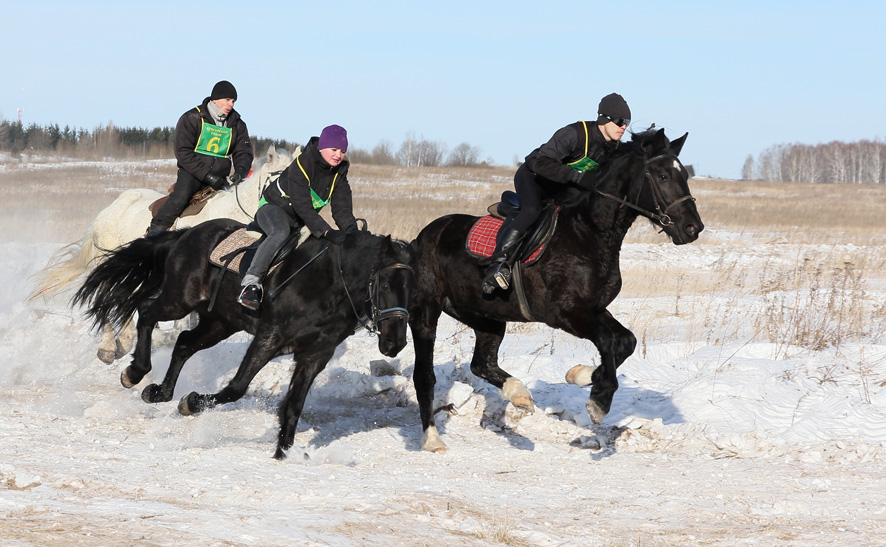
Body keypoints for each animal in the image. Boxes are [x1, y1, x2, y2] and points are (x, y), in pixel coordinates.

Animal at [73, 217, 416, 458]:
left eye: (412, 287)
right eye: (385, 284)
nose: (395, 343)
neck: (326, 283)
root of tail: (189, 232)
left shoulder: (315, 355)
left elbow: (294, 405)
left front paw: (283, 454)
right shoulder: (269, 338)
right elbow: (237, 387)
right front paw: (192, 402)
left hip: (220, 321)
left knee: (183, 342)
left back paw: (159, 392)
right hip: (179, 300)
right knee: (146, 312)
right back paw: (135, 373)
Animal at [412, 130, 708, 454]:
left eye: (685, 176)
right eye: (663, 175)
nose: (693, 228)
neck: (589, 232)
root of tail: (422, 236)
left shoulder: (595, 309)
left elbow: (625, 341)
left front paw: (583, 375)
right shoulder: (564, 313)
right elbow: (608, 341)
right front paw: (600, 400)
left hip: (485, 315)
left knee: (482, 363)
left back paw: (519, 393)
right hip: (427, 311)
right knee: (424, 376)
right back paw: (432, 438)